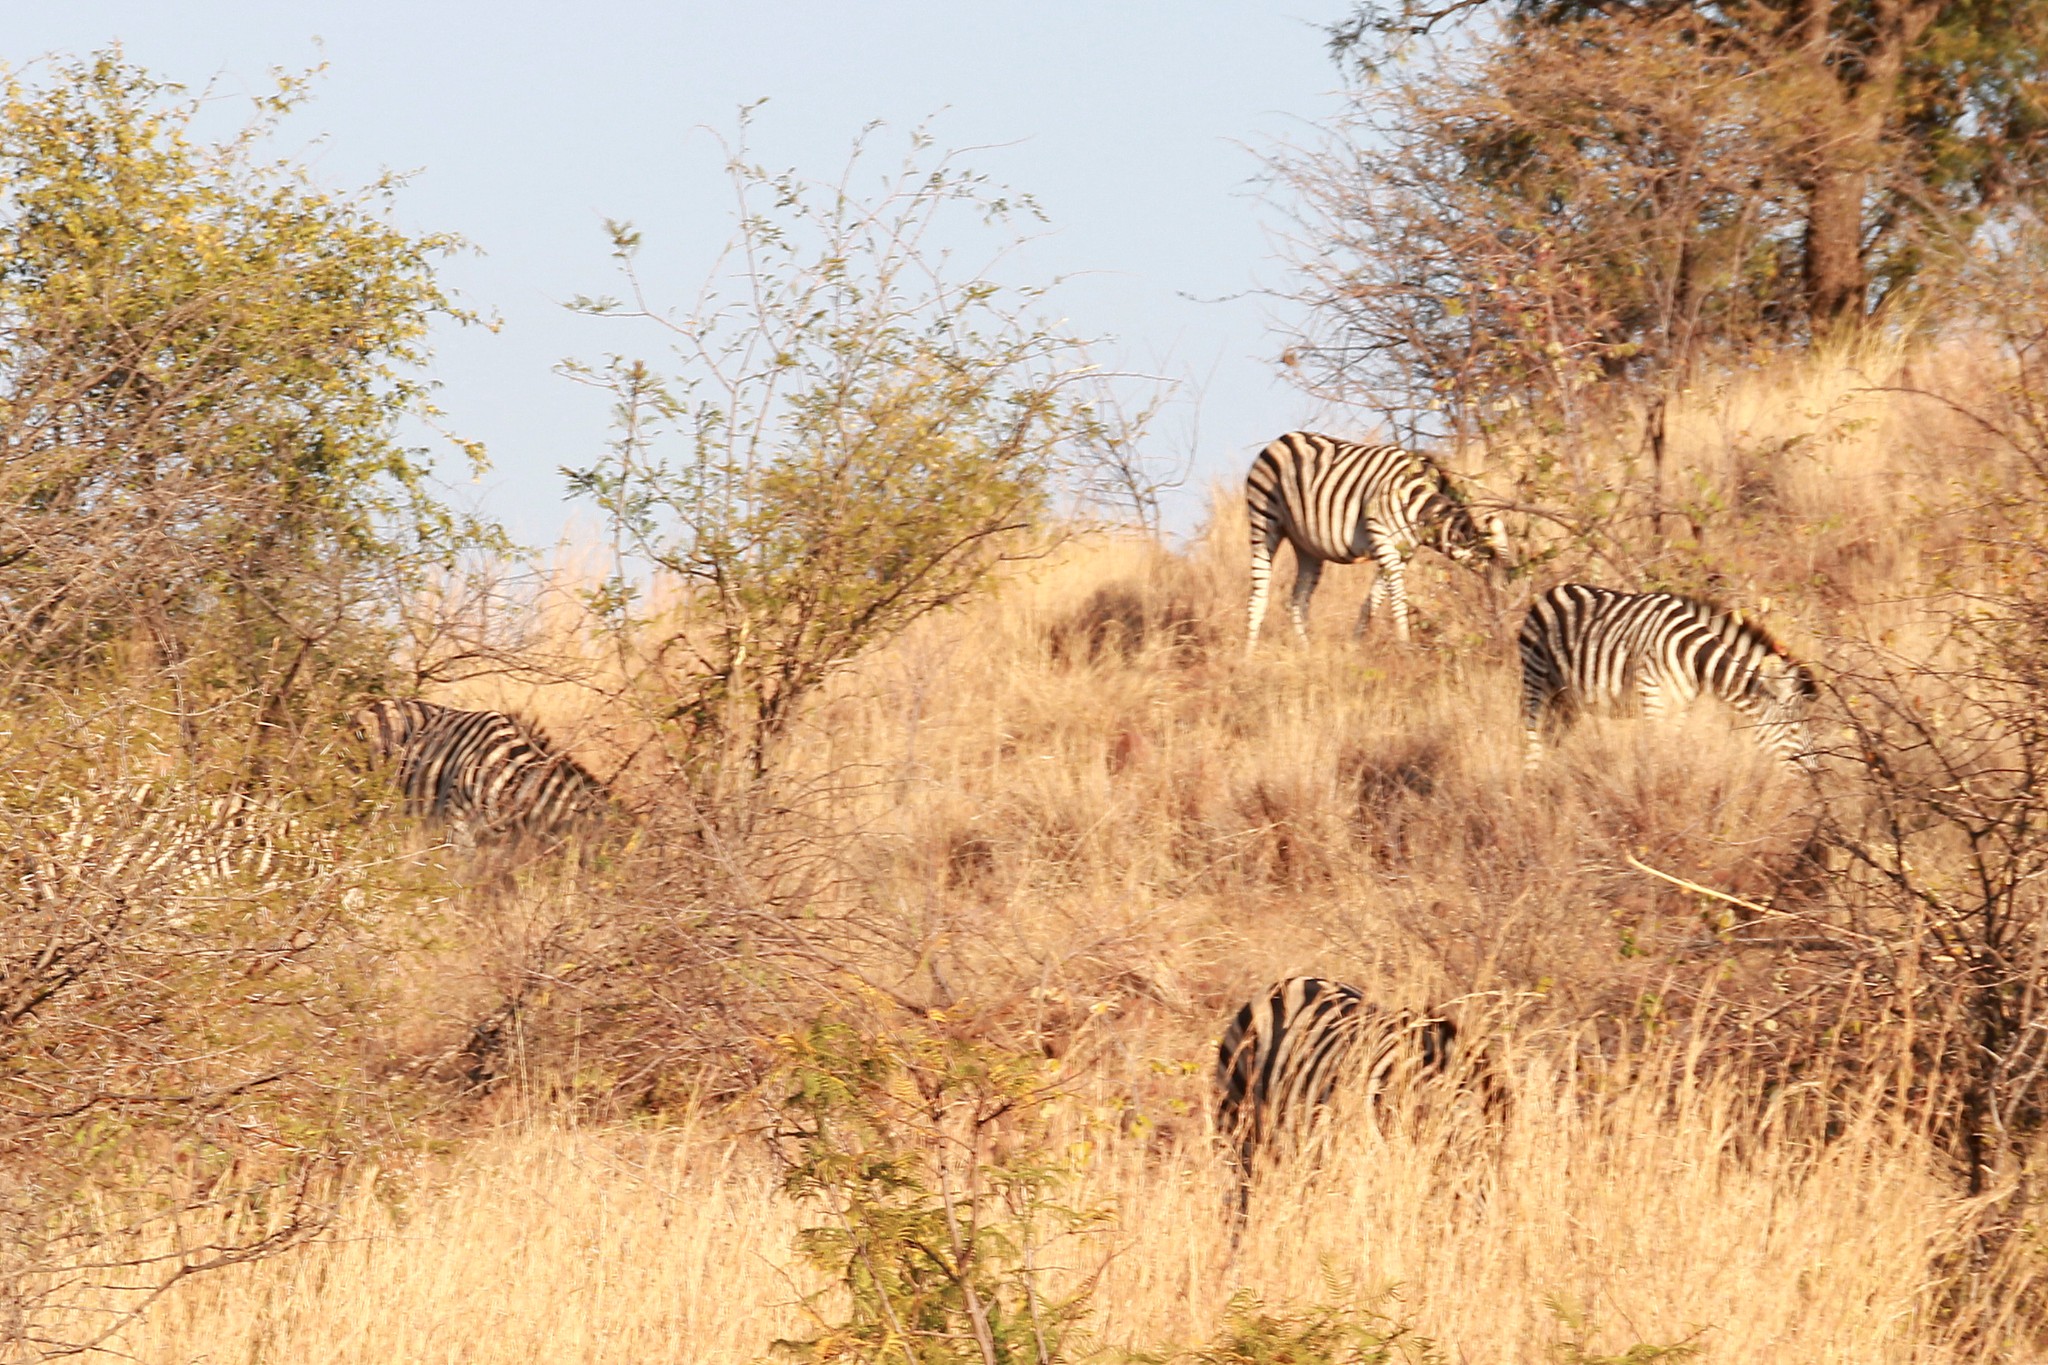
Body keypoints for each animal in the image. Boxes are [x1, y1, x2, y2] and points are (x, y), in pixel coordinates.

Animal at [1236, 435, 1515, 654]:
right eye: (1497, 592)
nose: (1506, 639)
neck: (1417, 502)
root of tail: (1281, 438)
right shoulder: (1383, 539)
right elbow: (1398, 600)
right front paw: (1406, 648)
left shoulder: (1402, 553)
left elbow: (1371, 603)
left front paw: (1353, 647)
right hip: (1265, 522)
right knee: (1259, 596)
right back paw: (1248, 657)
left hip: (1307, 546)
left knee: (1297, 601)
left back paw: (1306, 653)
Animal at [1523, 585, 1826, 773]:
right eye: (1793, 729)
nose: (1813, 776)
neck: (1694, 657)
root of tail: (1552, 590)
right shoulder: (1653, 700)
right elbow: (1658, 754)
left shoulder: (1680, 707)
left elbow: (1672, 750)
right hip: (1536, 682)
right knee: (1533, 744)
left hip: (1566, 701)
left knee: (1551, 742)